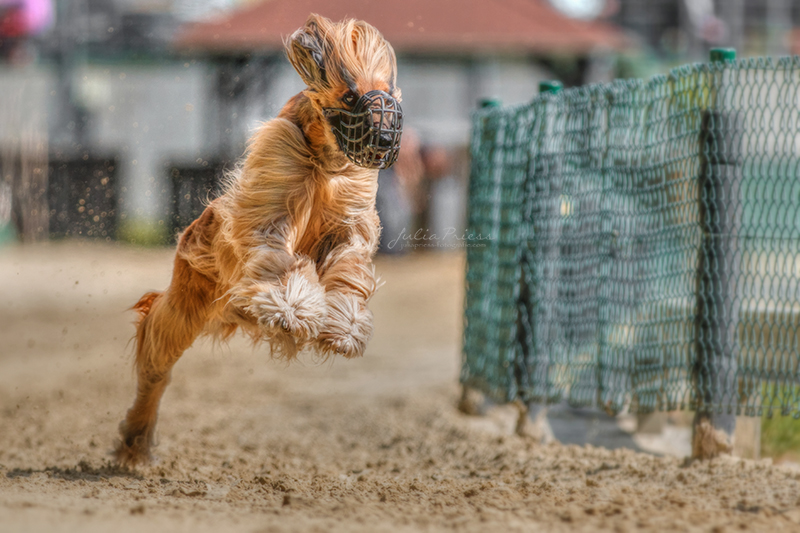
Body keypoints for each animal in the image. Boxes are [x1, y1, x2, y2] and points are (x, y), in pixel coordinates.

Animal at [113, 13, 404, 466]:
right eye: (351, 93)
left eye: (387, 93)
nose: (386, 140)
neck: (325, 163)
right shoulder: (273, 194)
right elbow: (278, 255)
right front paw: (292, 308)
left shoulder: (350, 217)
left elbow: (348, 265)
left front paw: (344, 326)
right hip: (187, 301)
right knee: (156, 356)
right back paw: (136, 437)